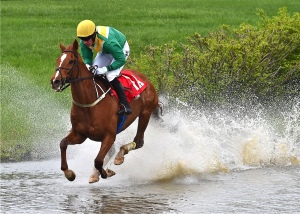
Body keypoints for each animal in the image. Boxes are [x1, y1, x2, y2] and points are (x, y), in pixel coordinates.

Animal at [50, 39, 161, 183]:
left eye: (71, 61)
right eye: (58, 60)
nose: (55, 81)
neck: (89, 104)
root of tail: (146, 79)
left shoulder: (109, 135)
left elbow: (98, 160)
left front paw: (106, 172)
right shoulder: (80, 134)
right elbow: (63, 143)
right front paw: (69, 173)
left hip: (145, 113)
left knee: (138, 141)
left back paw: (120, 155)